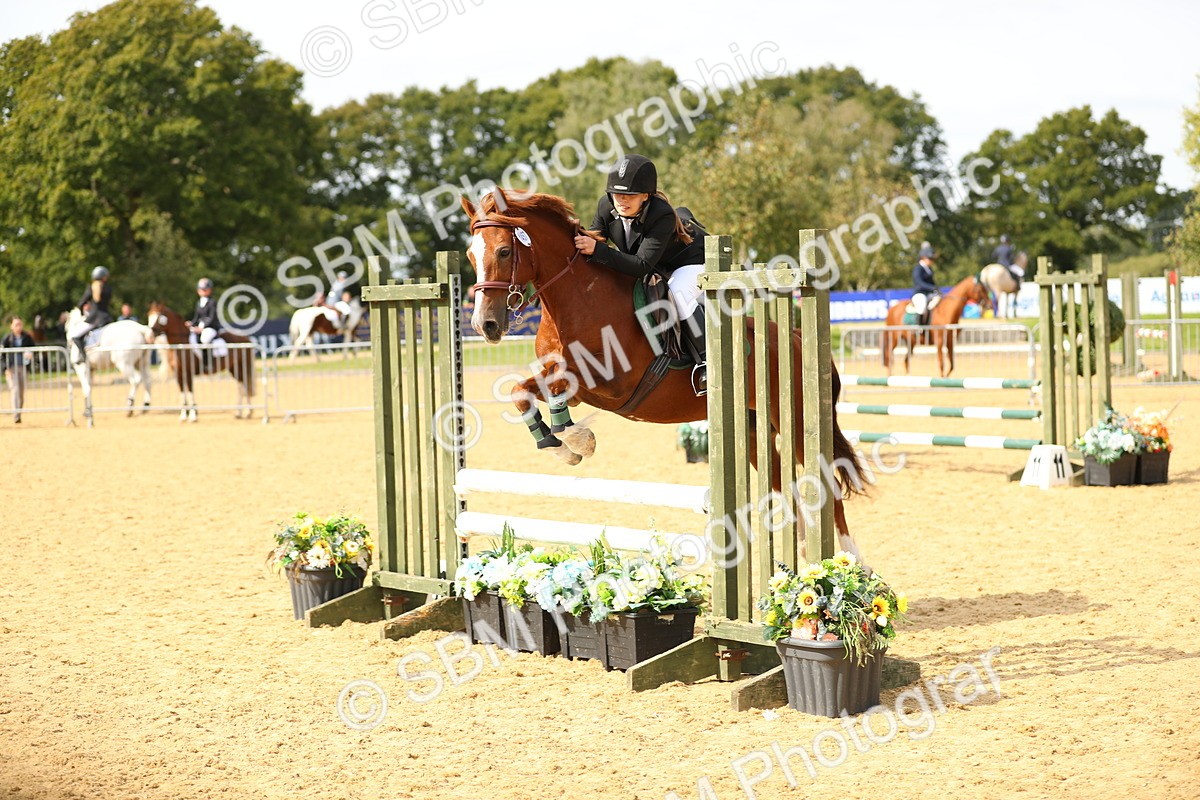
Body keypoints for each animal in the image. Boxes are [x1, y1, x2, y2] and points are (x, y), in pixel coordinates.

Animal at [463, 189, 866, 559]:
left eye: (503, 251)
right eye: (469, 255)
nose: (485, 325)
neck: (580, 297)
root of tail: (796, 337)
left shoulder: (610, 383)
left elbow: (557, 389)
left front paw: (579, 440)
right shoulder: (565, 378)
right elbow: (521, 392)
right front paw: (562, 446)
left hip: (795, 420)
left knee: (829, 486)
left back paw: (853, 566)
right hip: (753, 429)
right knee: (789, 491)